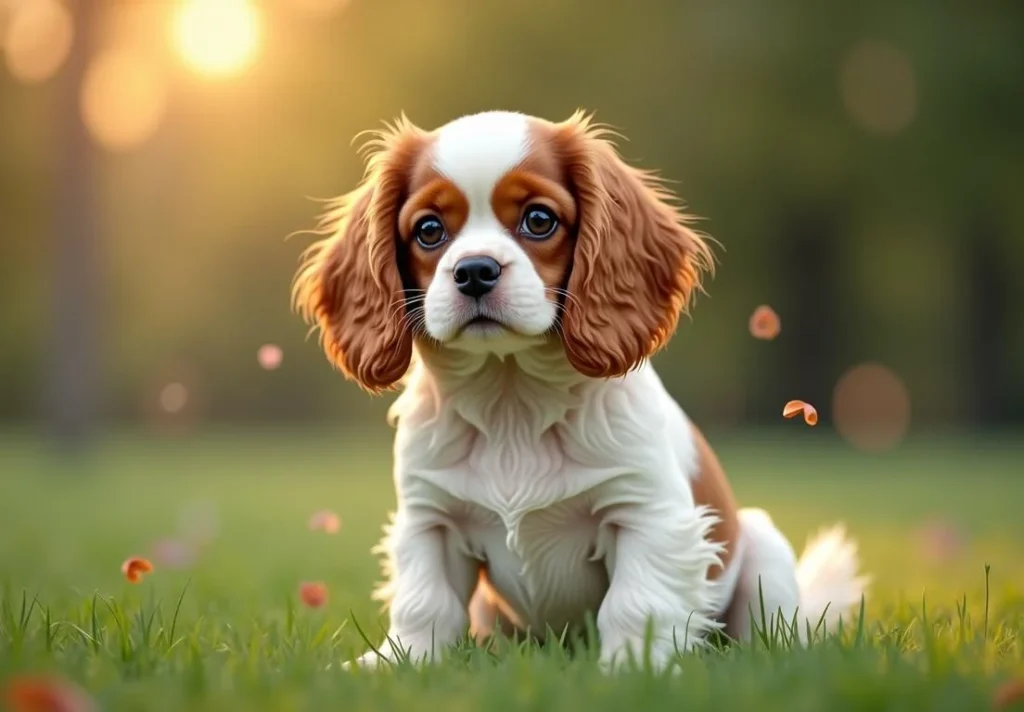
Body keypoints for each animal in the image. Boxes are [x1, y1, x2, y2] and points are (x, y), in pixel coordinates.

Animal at [292, 108, 868, 672]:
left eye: (539, 220)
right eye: (429, 230)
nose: (474, 270)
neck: (511, 397)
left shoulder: (645, 512)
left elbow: (635, 604)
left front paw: (631, 668)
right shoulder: (428, 518)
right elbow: (424, 603)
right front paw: (397, 662)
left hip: (763, 546)